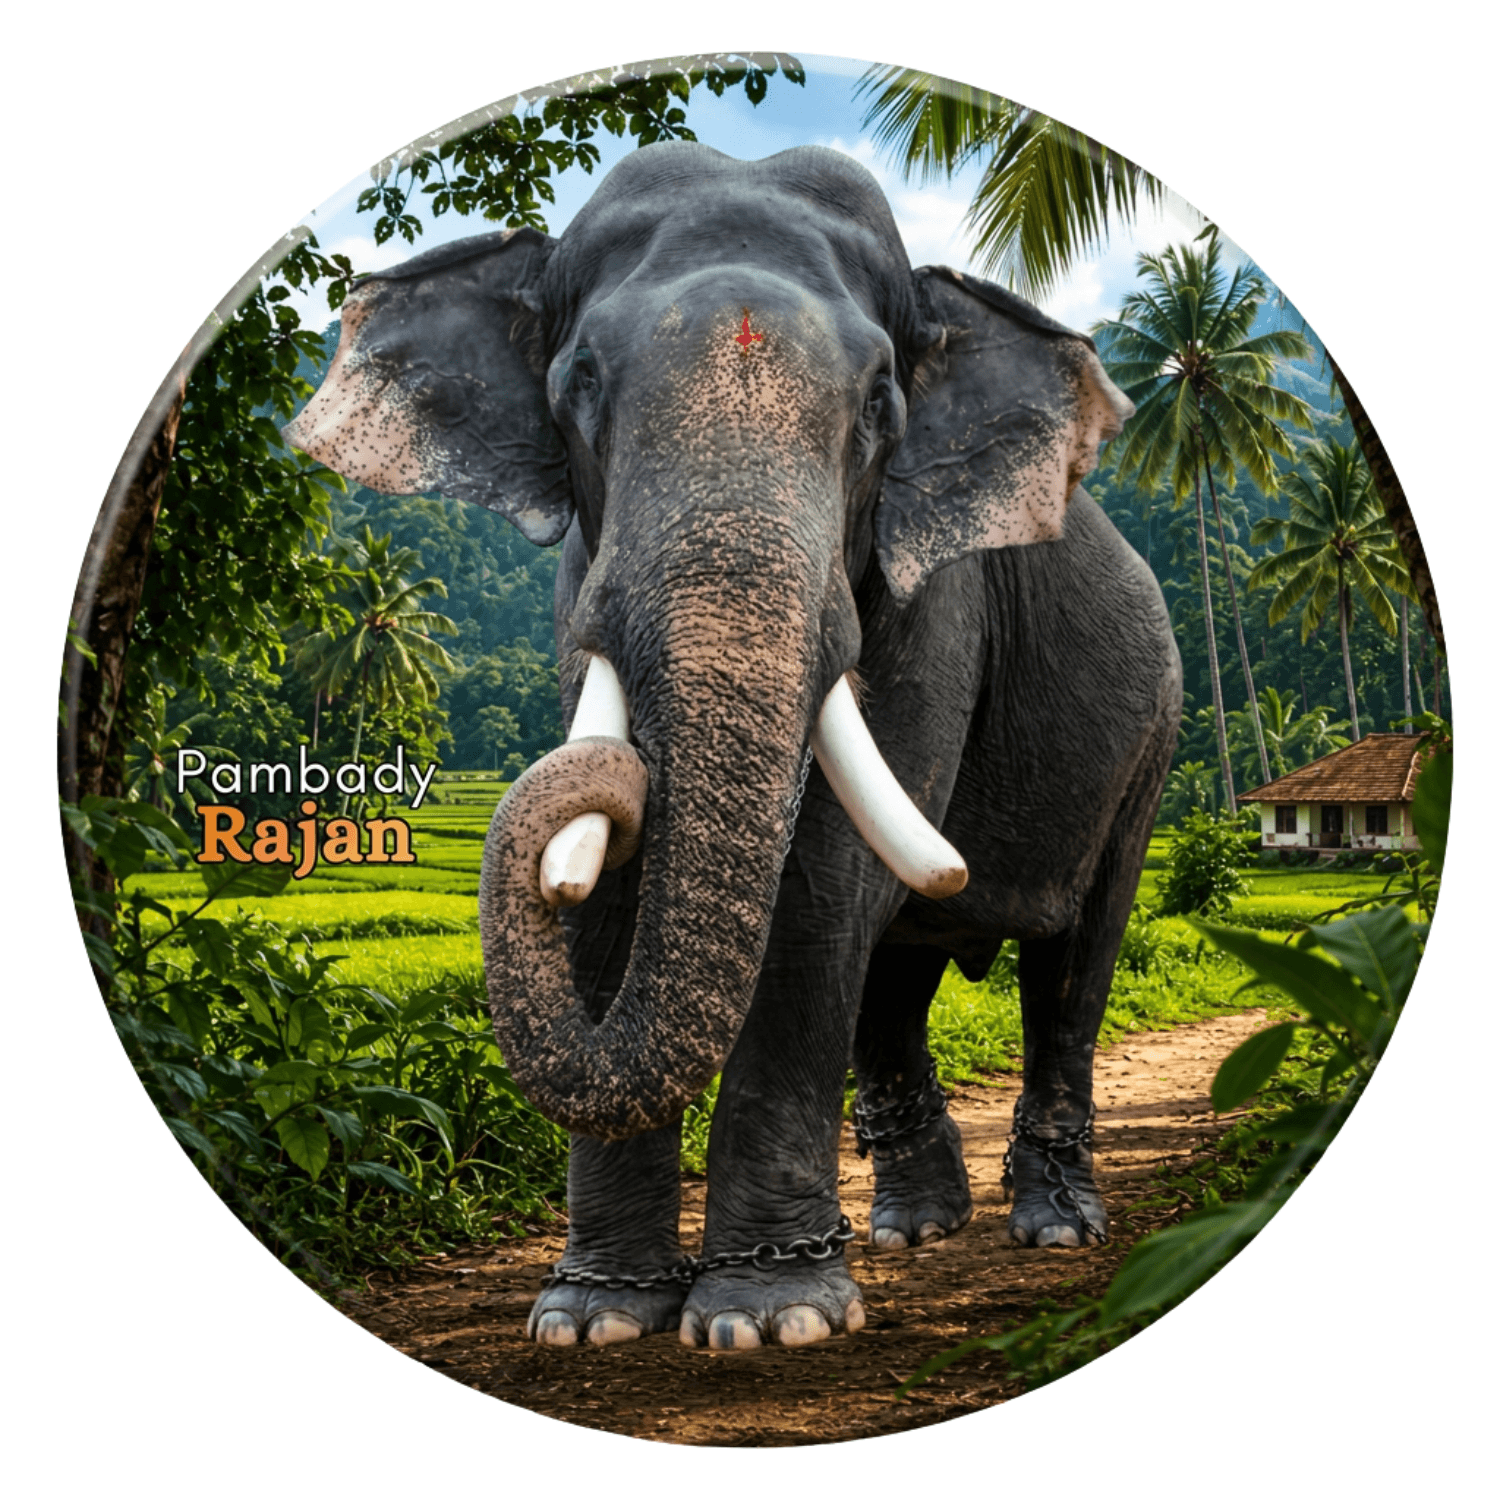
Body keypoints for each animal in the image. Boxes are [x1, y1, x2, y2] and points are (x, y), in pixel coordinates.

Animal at [285, 141, 1182, 1352]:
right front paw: (593, 1319)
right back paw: (912, 1228)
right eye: (580, 382)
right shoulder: (579, 583)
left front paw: (771, 1320)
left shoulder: (929, 608)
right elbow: (616, 891)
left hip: (1153, 737)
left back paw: (1053, 1227)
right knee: (898, 972)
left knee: (1072, 958)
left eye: (881, 406)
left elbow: (823, 888)